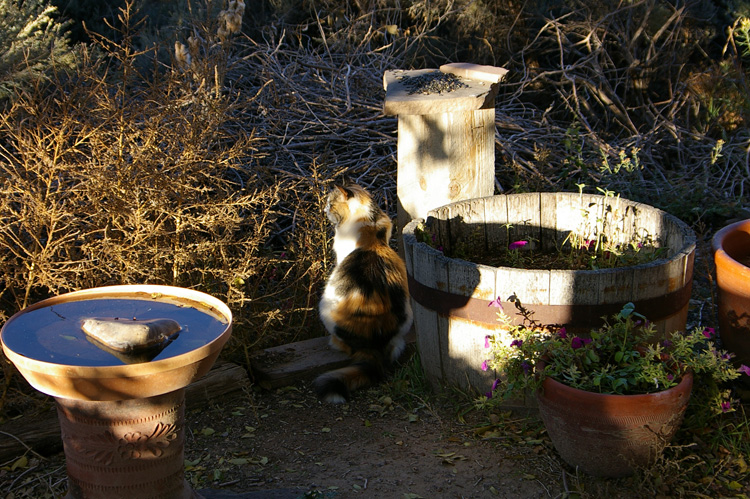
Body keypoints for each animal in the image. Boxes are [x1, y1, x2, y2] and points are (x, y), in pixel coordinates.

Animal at [314, 183, 414, 402]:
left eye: (330, 203)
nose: (324, 210)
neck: (371, 227)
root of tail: (374, 345)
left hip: (325, 306)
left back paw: (333, 342)